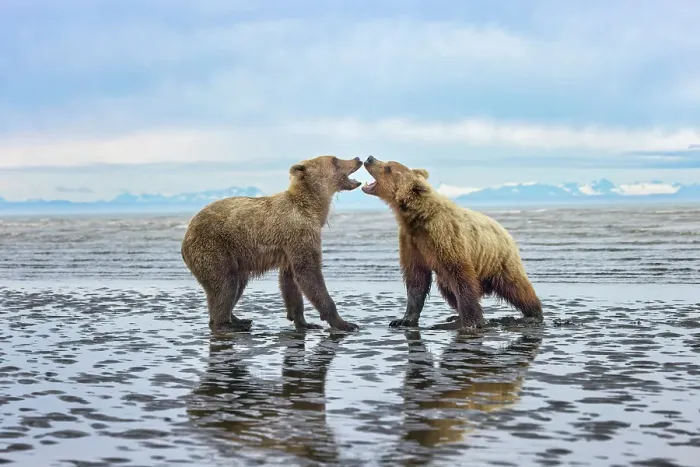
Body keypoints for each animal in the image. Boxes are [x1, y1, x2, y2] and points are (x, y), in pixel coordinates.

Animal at [181, 155, 363, 334]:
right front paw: (345, 323)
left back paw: (239, 320)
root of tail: (186, 234)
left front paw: (304, 322)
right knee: (226, 283)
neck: (314, 209)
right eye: (335, 160)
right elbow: (308, 272)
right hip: (214, 248)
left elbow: (290, 280)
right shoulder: (299, 232)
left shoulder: (289, 245)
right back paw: (226, 324)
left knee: (237, 284)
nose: (357, 158)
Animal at [361, 155, 543, 330]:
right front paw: (402, 320)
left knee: (516, 287)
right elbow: (416, 278)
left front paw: (472, 322)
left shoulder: (444, 236)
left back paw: (533, 314)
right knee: (447, 288)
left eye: (388, 167)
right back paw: (454, 316)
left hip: (498, 259)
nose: (369, 158)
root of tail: (505, 231)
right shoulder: (411, 242)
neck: (416, 218)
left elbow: (460, 275)